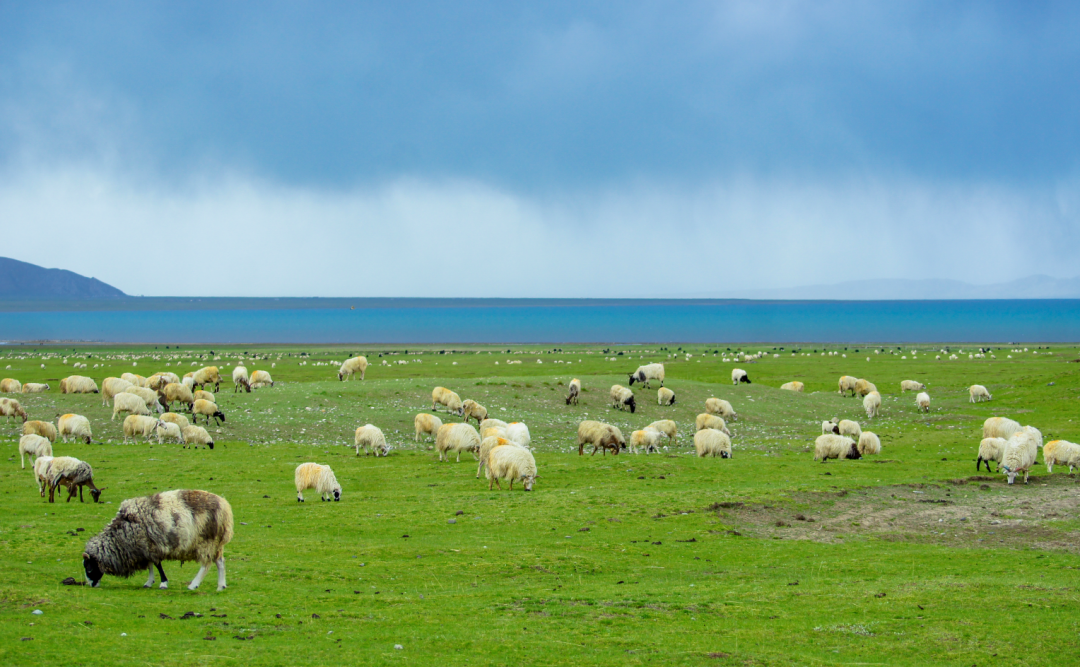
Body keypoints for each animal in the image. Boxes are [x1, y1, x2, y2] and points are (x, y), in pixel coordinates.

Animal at [82, 485, 236, 591]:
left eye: (89, 569)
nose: (91, 585)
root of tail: (225, 507)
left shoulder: (152, 545)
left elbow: (157, 565)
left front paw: (163, 583)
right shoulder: (145, 546)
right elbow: (151, 565)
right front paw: (149, 582)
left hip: (206, 541)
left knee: (206, 564)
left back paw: (194, 584)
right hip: (216, 543)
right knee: (220, 562)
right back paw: (221, 586)